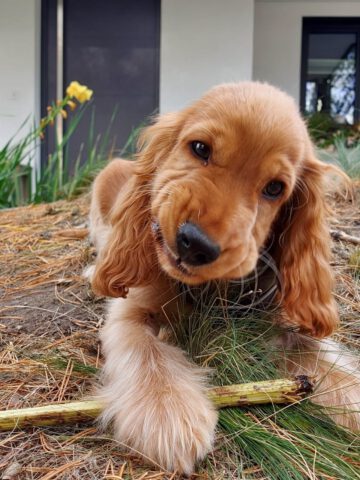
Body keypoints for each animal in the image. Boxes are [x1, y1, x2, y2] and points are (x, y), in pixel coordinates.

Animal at [88, 83, 360, 476]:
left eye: (275, 188)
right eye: (200, 148)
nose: (195, 244)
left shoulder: (270, 318)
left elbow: (317, 353)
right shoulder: (131, 310)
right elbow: (145, 348)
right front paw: (167, 410)